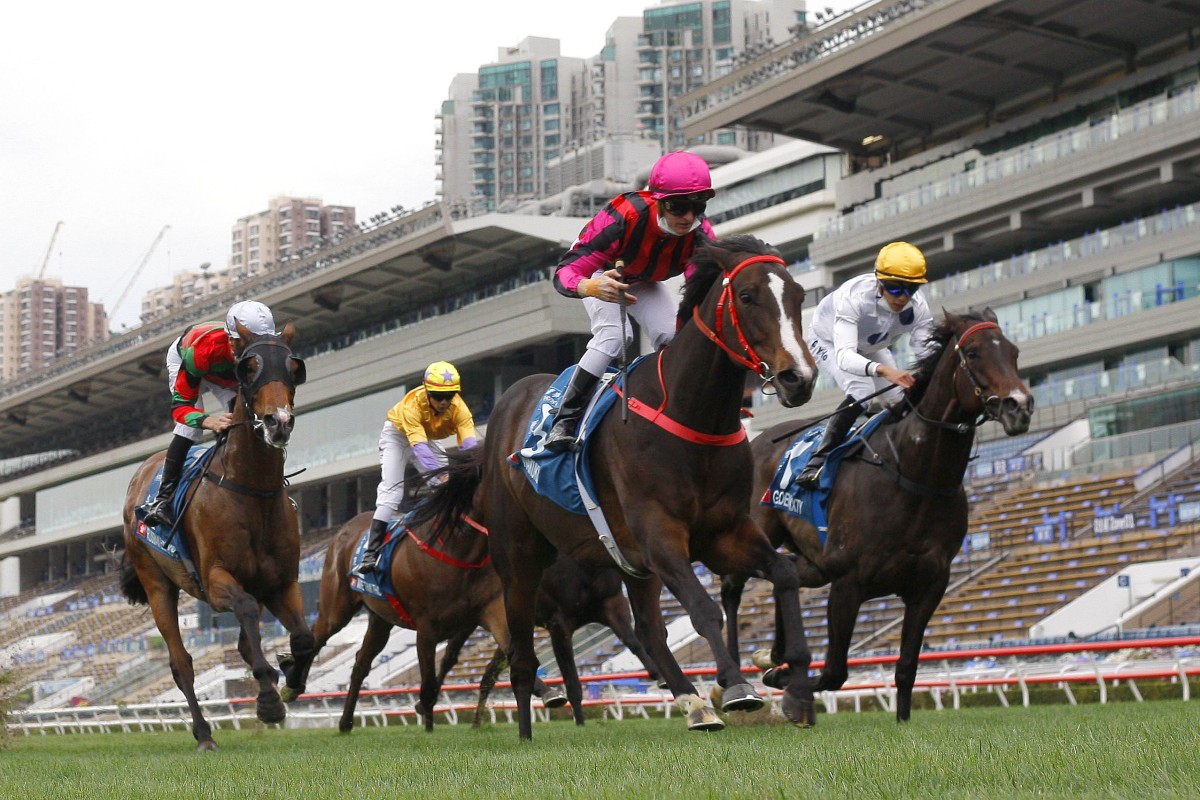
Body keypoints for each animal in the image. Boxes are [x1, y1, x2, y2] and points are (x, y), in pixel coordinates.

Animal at [118, 321, 309, 753]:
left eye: (294, 367)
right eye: (249, 367)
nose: (279, 422)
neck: (252, 489)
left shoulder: (282, 583)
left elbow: (303, 637)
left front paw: (291, 675)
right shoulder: (217, 580)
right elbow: (245, 611)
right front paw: (269, 701)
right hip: (157, 584)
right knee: (181, 663)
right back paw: (204, 733)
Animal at [417, 235, 820, 743]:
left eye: (799, 296)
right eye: (747, 296)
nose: (798, 378)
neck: (691, 415)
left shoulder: (724, 532)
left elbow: (783, 574)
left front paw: (797, 688)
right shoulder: (659, 534)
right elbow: (703, 608)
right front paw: (735, 686)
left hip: (628, 560)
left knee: (646, 629)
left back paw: (692, 704)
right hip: (518, 555)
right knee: (521, 648)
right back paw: (525, 729)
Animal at [720, 309, 1032, 724]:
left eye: (1014, 352)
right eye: (974, 353)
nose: (1020, 406)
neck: (915, 476)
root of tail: (755, 440)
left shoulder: (929, 586)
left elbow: (906, 667)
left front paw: (901, 722)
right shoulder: (848, 582)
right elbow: (835, 671)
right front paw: (790, 692)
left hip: (814, 561)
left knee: (784, 573)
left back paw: (771, 655)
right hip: (755, 534)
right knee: (732, 589)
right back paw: (735, 684)